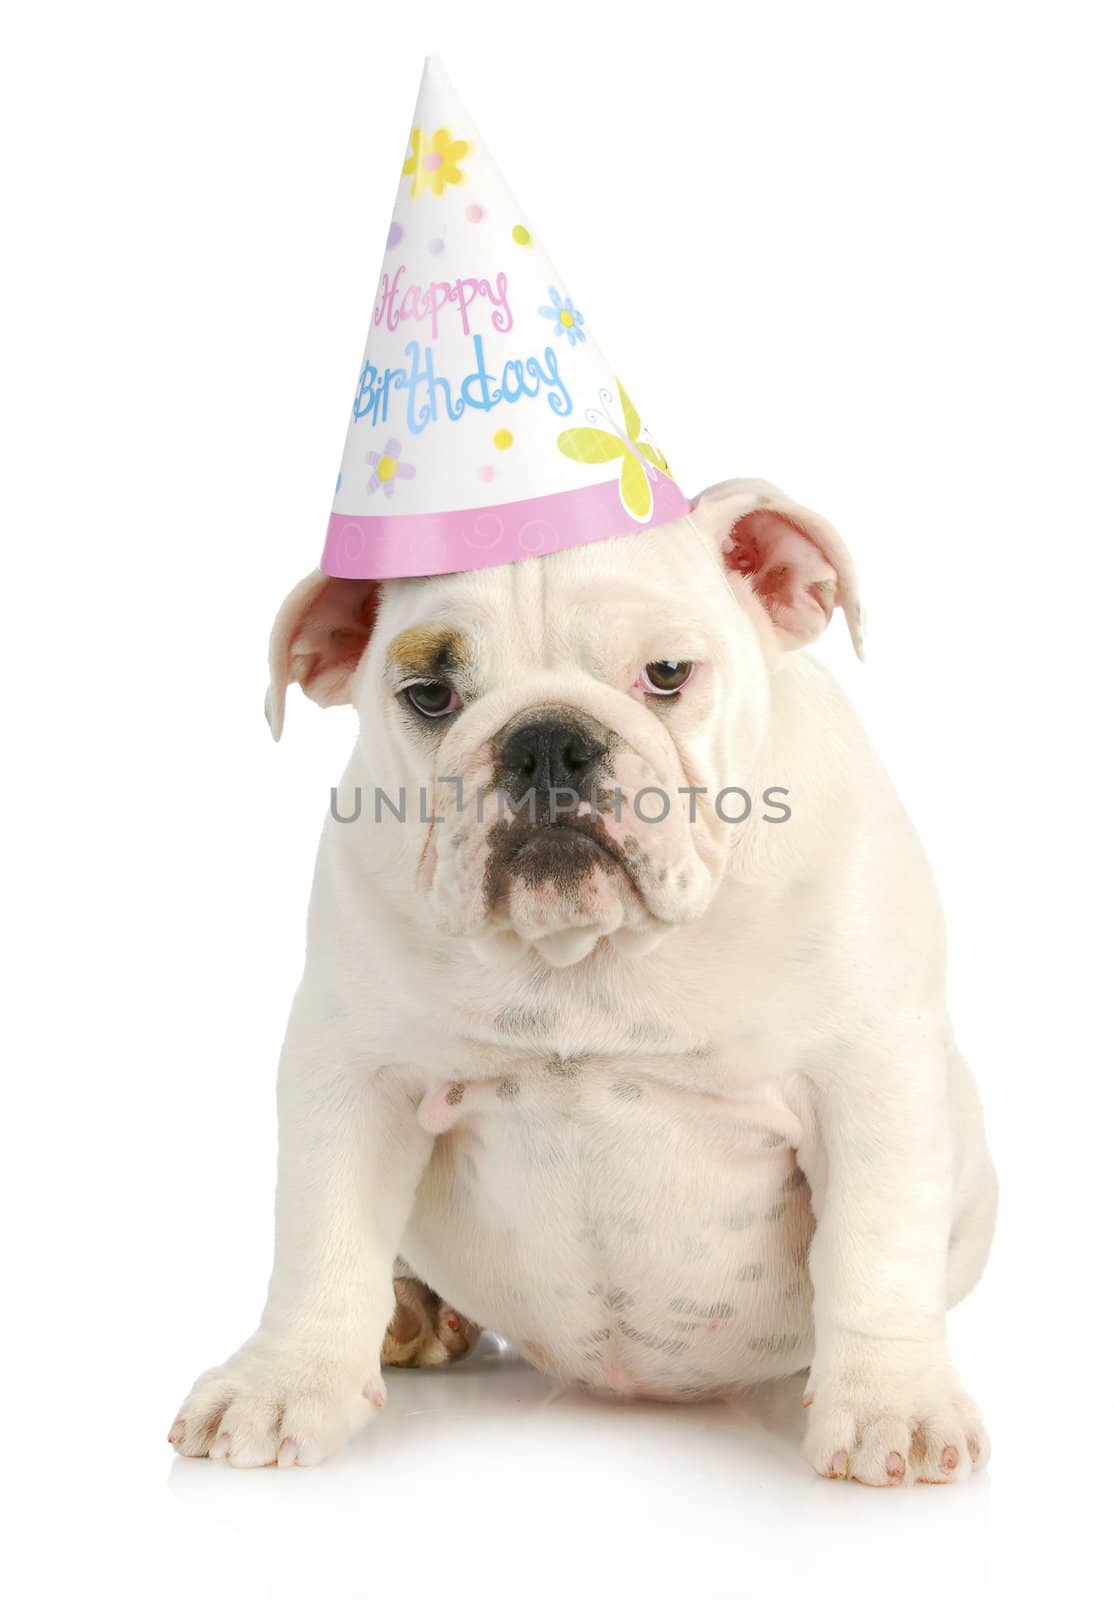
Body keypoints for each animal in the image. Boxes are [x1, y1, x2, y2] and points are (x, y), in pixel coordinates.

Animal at [169, 480, 998, 1478]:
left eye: (669, 673)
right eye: (430, 695)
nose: (547, 741)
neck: (585, 952)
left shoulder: (869, 1078)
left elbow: (877, 1251)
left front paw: (890, 1406)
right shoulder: (350, 1073)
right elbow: (322, 1238)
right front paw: (281, 1381)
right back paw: (412, 1311)